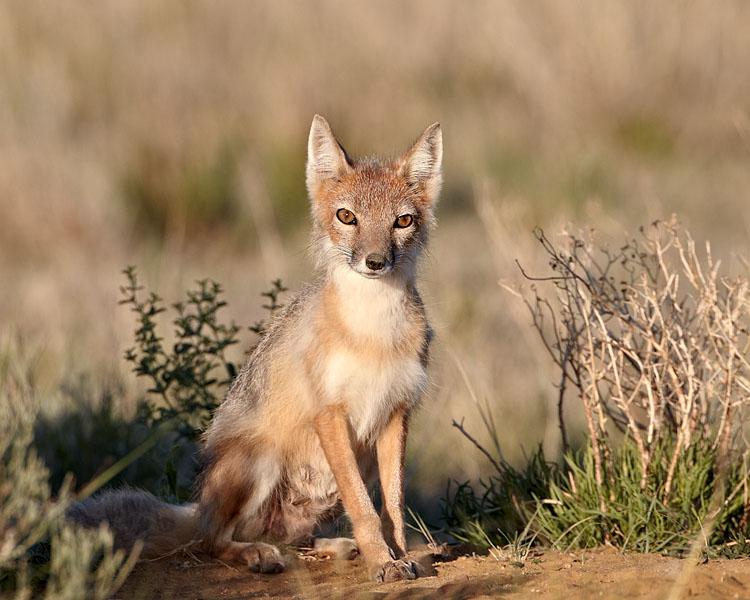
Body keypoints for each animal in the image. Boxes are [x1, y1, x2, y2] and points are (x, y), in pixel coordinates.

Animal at [69, 115, 442, 582]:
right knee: (212, 541)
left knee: (293, 539)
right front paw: (382, 560)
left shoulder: (395, 414)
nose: (375, 262)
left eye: (403, 221)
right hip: (258, 461)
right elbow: (364, 507)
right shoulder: (330, 414)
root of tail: (199, 507)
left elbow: (392, 505)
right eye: (347, 217)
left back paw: (334, 546)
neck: (374, 332)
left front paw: (399, 554)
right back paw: (257, 554)